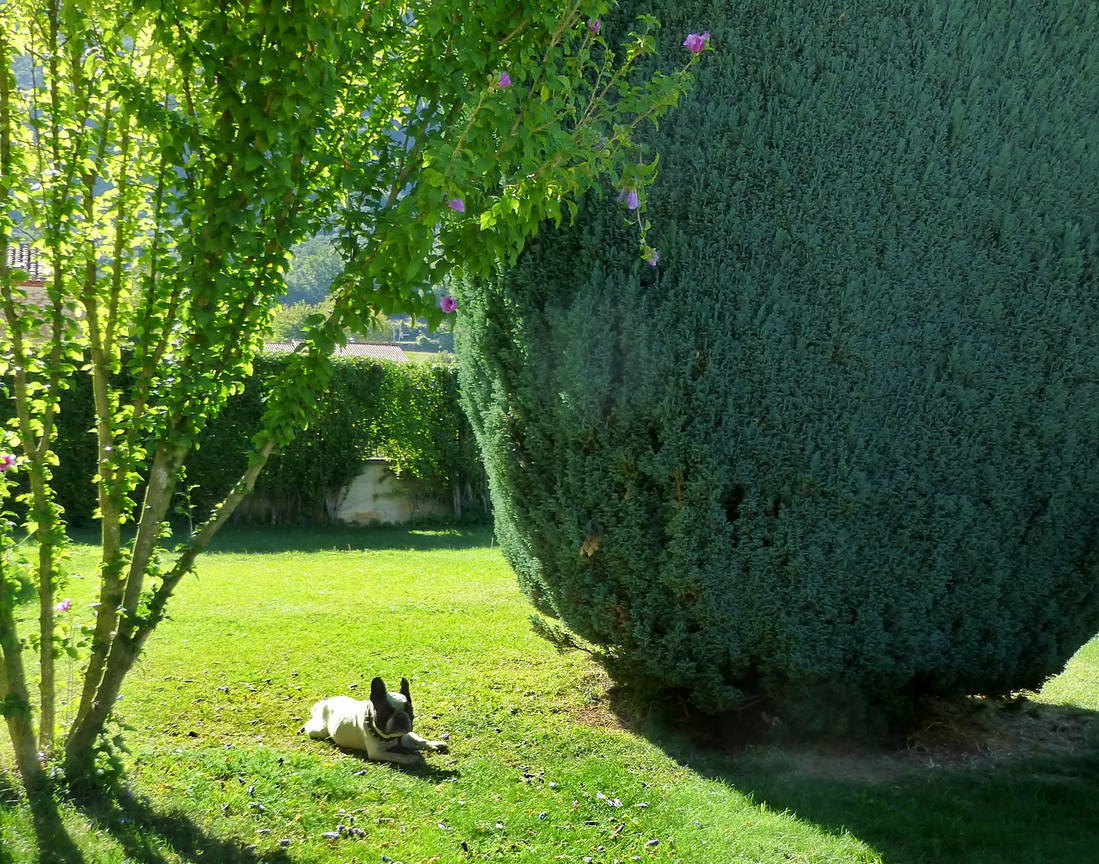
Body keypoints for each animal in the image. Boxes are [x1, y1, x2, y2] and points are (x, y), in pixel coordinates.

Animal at [301, 677, 446, 765]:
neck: (390, 738)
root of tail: (325, 703)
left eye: (409, 711)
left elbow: (419, 740)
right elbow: (397, 756)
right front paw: (411, 758)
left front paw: (433, 743)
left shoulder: (406, 736)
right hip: (319, 730)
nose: (400, 716)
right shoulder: (377, 753)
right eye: (386, 713)